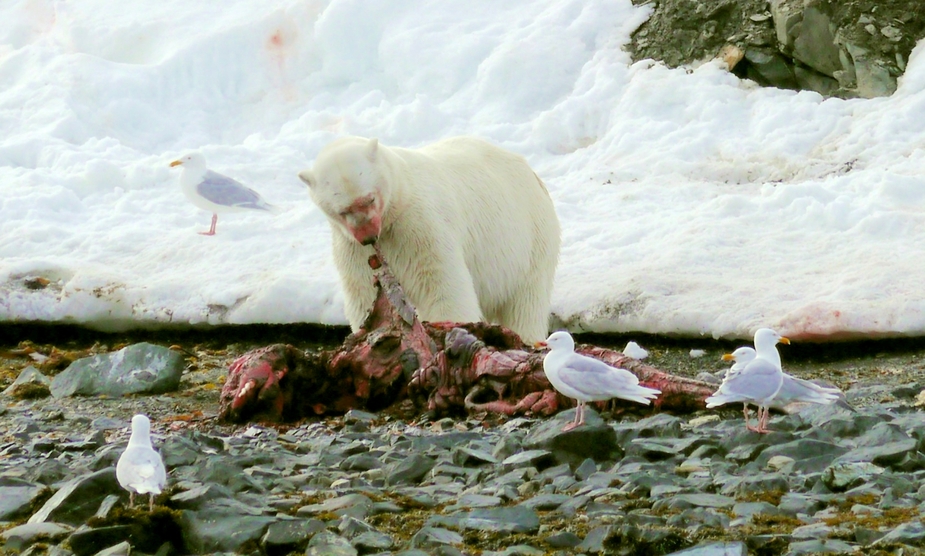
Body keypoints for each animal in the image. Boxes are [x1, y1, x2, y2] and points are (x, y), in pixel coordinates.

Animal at [300, 137, 560, 344]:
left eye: (369, 199)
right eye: (342, 210)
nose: (368, 236)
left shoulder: (420, 225)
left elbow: (441, 282)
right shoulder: (352, 247)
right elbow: (363, 290)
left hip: (529, 241)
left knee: (524, 306)